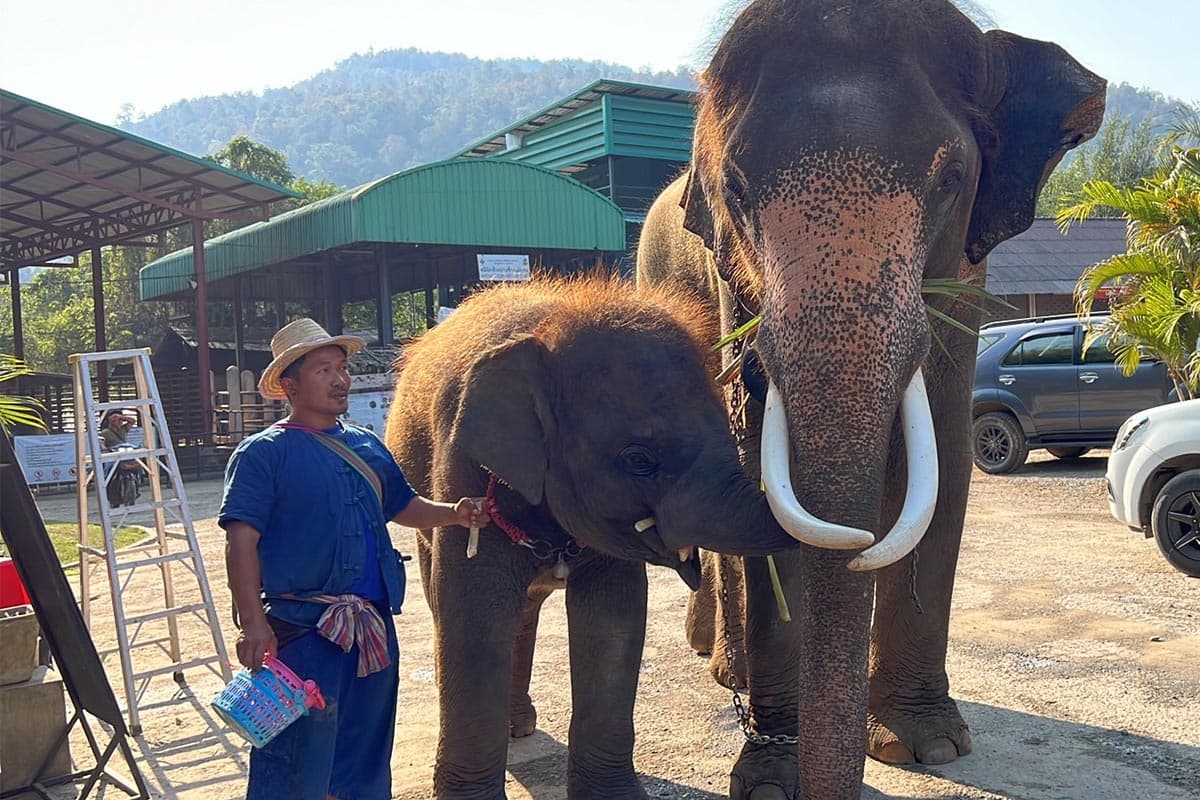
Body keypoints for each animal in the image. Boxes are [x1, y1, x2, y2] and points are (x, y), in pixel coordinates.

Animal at [384, 276, 817, 799]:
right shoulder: (462, 475)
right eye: (638, 459)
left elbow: (614, 618)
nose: (754, 356)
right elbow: (473, 616)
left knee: (524, 609)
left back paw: (519, 726)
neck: (551, 327)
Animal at [635, 1, 1106, 798]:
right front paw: (770, 777)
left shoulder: (964, 277)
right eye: (737, 189)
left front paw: (926, 748)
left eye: (951, 178)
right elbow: (754, 470)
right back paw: (723, 667)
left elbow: (943, 454)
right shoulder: (733, 285)